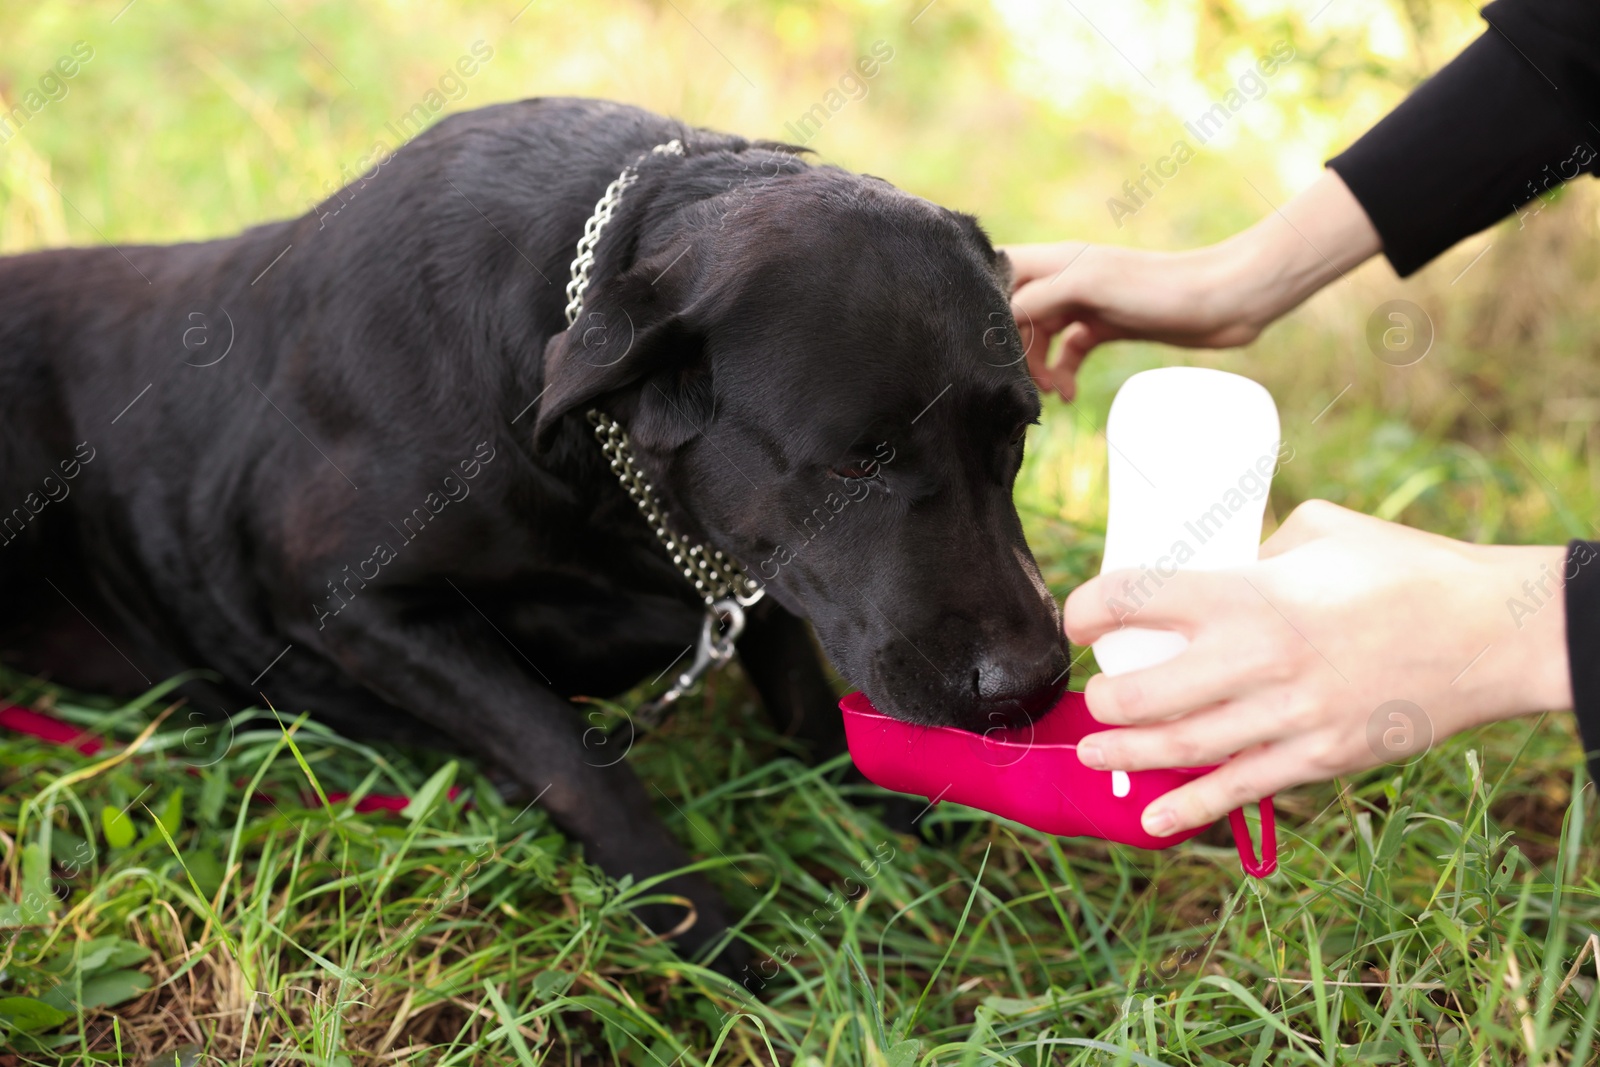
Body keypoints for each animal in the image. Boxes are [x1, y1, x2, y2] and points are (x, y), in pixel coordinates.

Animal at [3, 97, 1075, 966]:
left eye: (1017, 430)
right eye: (857, 461)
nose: (1030, 684)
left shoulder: (744, 561)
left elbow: (801, 688)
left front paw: (878, 808)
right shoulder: (353, 603)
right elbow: (573, 754)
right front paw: (706, 932)